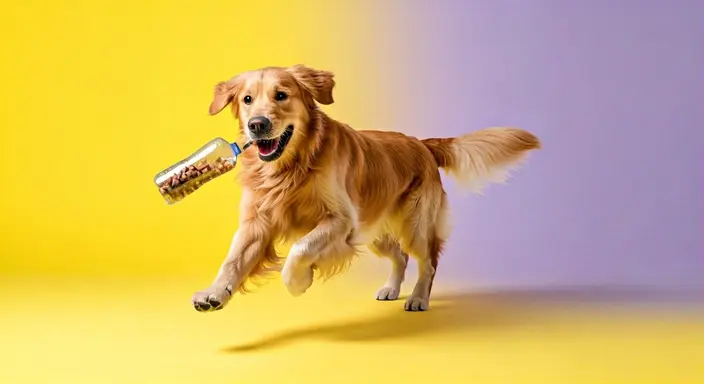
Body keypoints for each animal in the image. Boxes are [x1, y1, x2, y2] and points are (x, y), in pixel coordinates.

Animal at [190, 65, 540, 312]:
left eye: (281, 95)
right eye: (247, 99)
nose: (257, 125)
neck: (292, 167)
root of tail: (421, 143)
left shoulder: (340, 220)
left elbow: (301, 247)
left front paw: (299, 282)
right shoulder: (257, 222)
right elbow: (233, 259)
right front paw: (214, 293)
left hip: (414, 224)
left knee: (428, 262)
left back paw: (418, 298)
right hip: (373, 232)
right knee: (400, 256)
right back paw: (391, 289)